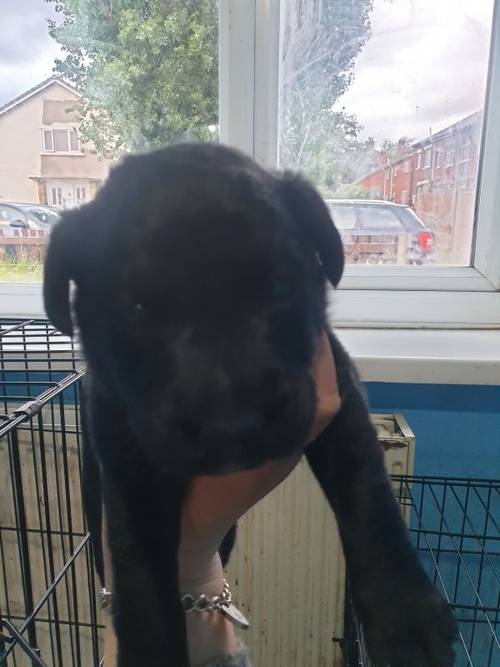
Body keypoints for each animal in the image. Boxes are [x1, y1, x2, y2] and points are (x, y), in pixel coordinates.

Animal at [43, 144, 458, 664]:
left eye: (279, 284)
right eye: (137, 309)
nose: (233, 426)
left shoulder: (335, 388)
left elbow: (366, 486)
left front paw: (405, 613)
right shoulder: (126, 459)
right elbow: (141, 578)